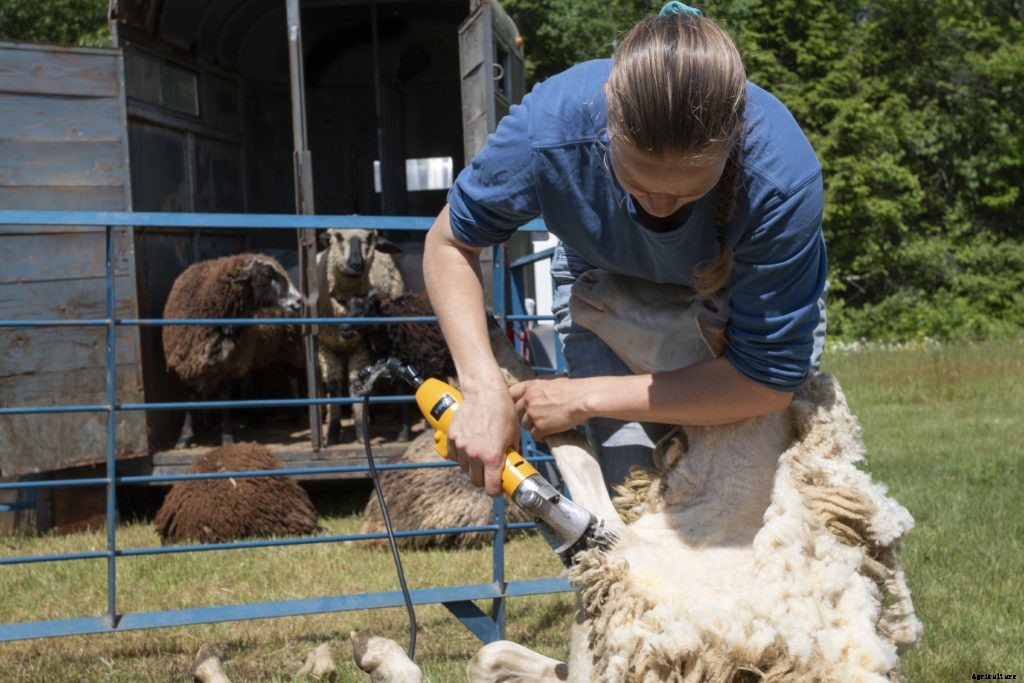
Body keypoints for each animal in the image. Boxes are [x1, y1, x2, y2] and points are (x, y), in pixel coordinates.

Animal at [162, 253, 304, 448]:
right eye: (268, 275)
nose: (299, 300)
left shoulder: (230, 364)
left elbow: (224, 398)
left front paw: (227, 436)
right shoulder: (189, 361)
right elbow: (190, 398)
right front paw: (184, 437)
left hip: (288, 344)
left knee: (293, 377)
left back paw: (296, 414)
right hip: (258, 351)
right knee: (258, 379)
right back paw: (255, 418)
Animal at [316, 228, 404, 445]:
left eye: (370, 237)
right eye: (337, 236)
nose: (356, 263)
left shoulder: (361, 348)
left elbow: (356, 385)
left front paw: (361, 432)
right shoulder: (325, 347)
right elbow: (333, 385)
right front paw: (332, 431)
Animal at [352, 270, 920, 681]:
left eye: (693, 298)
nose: (587, 278)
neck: (724, 507)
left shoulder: (618, 558)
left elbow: (574, 454)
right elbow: (487, 658)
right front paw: (492, 332)